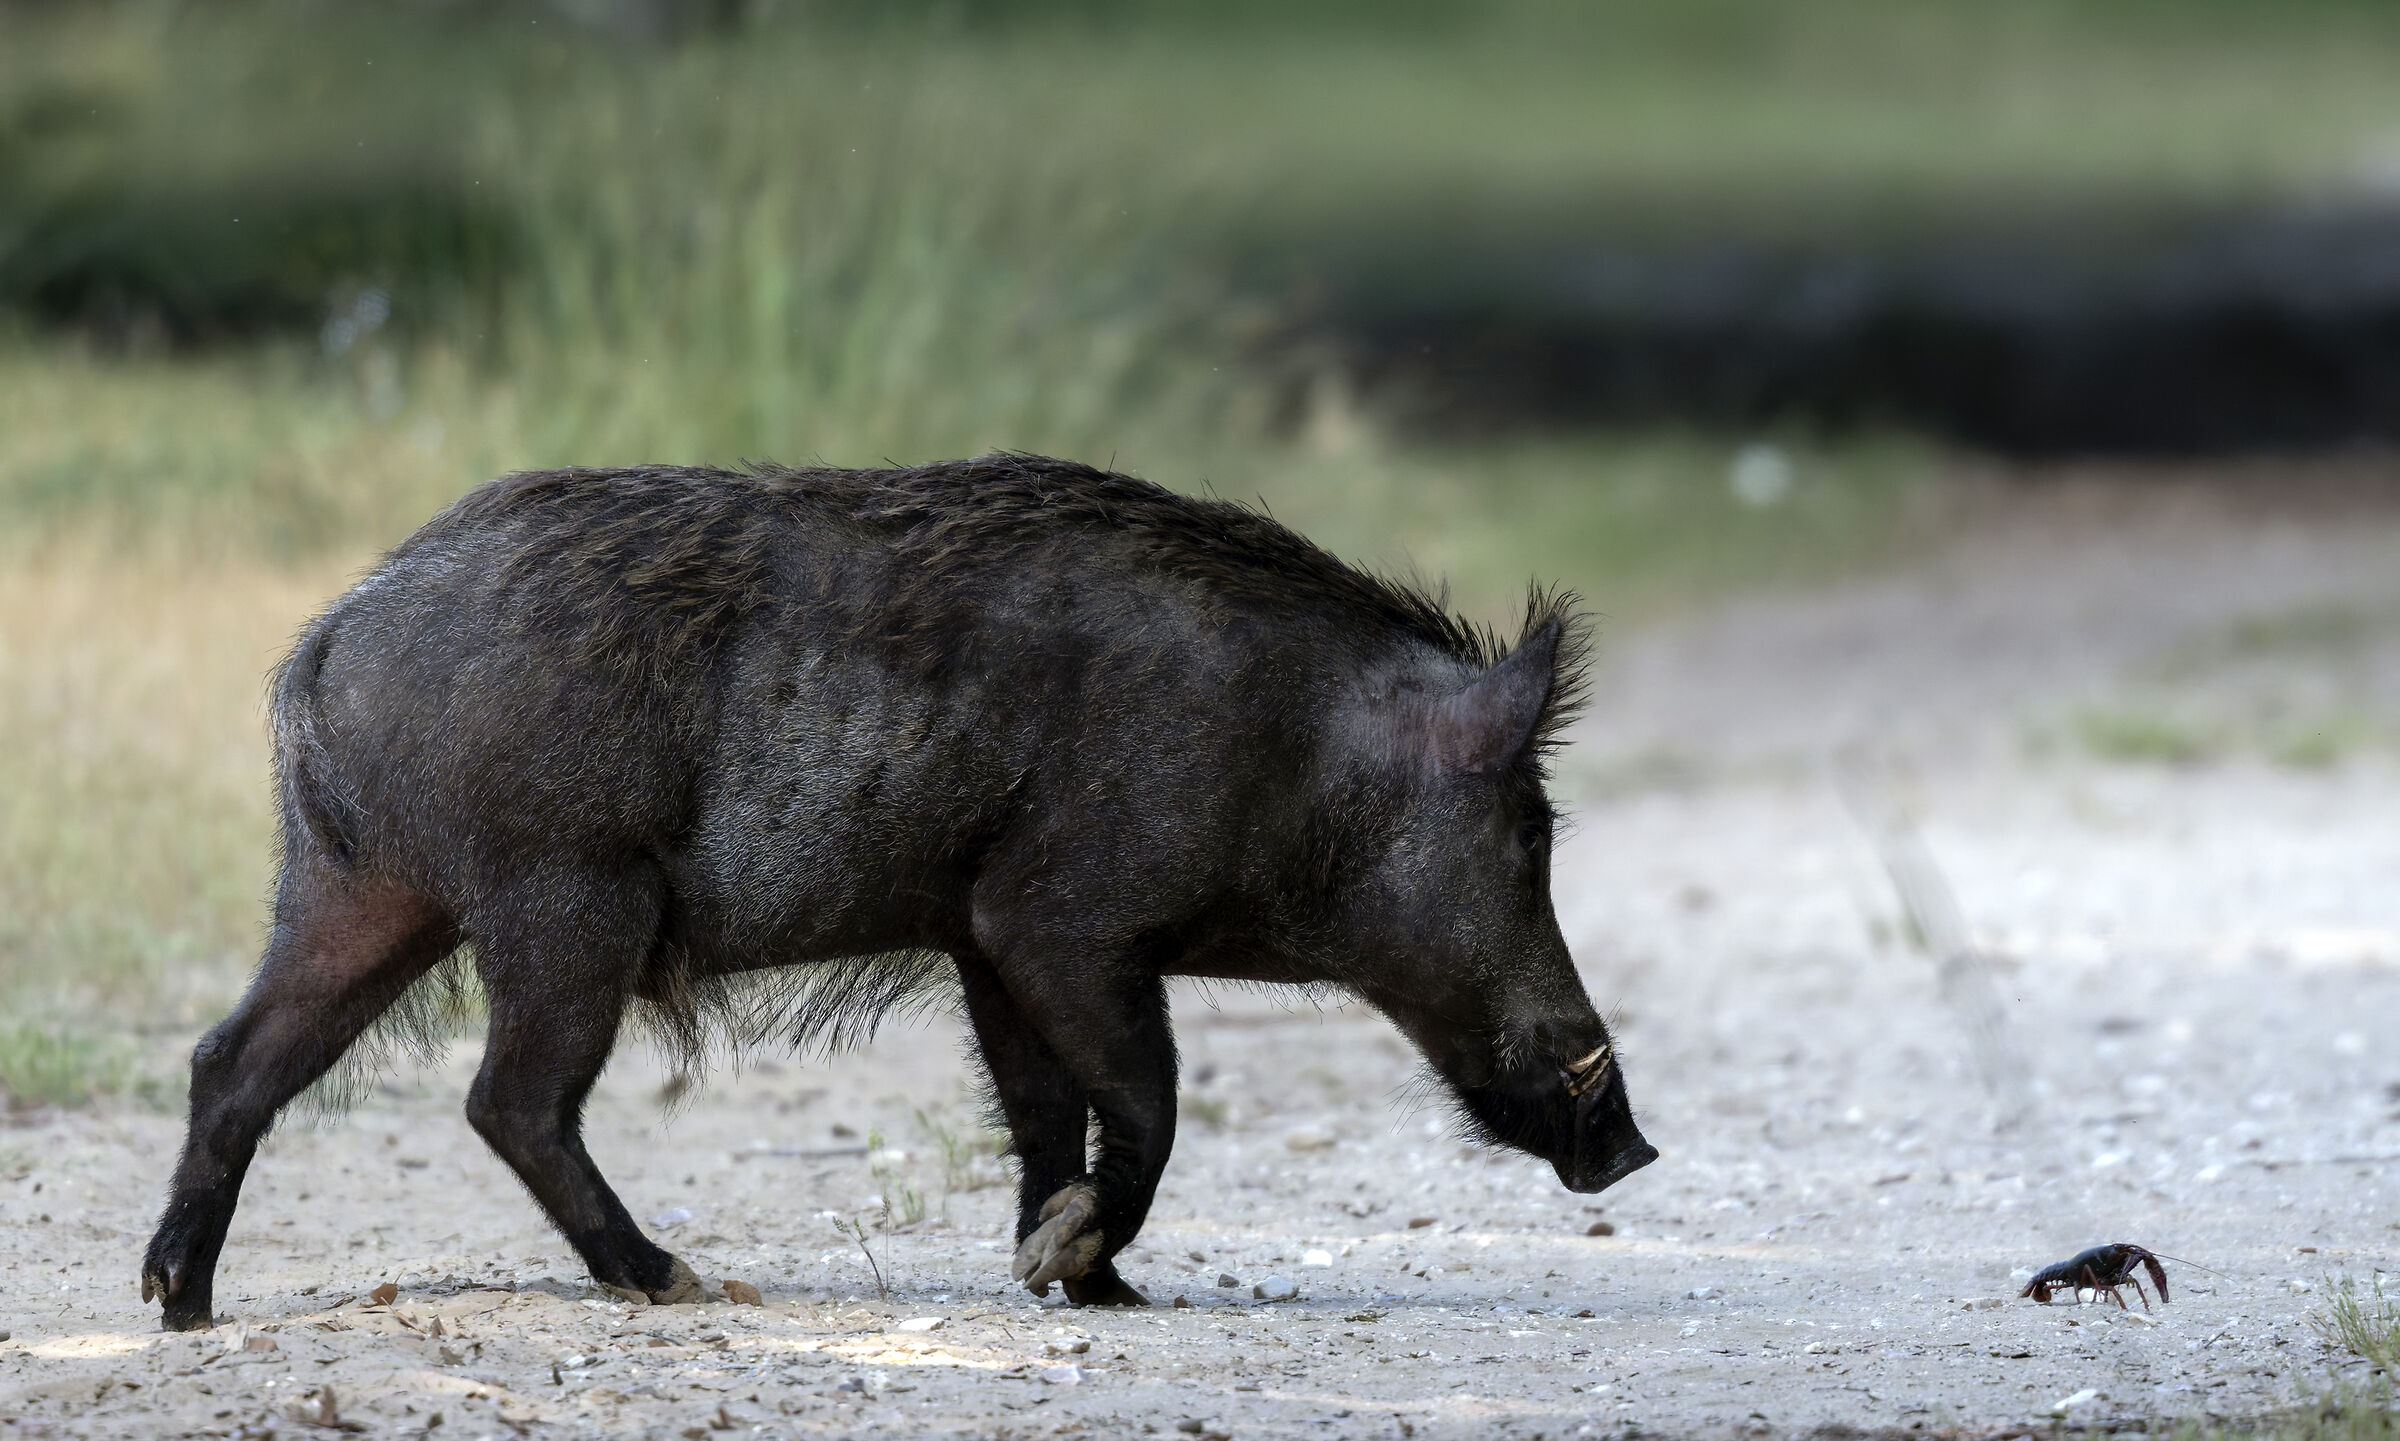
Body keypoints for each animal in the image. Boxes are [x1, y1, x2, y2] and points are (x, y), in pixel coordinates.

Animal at [141, 455, 1655, 1329]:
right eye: (1531, 834)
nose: (1631, 1147)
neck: (1301, 755)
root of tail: (331, 637)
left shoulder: (982, 937)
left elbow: (1045, 1110)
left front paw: (1098, 1289)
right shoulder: (1060, 917)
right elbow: (1144, 1100)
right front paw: (1068, 1264)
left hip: (363, 891)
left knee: (234, 1058)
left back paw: (180, 1304)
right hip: (562, 897)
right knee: (507, 1098)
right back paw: (674, 1281)